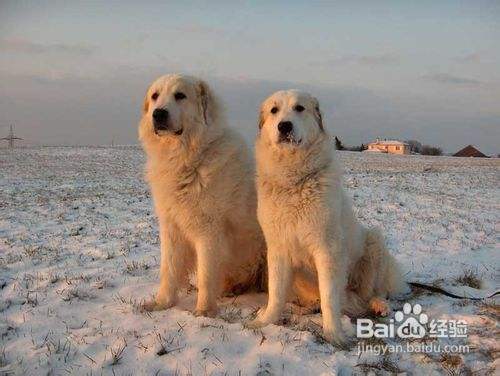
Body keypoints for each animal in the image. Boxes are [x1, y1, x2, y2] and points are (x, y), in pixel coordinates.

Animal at [139, 75, 266, 316]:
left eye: (180, 95)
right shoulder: (171, 227)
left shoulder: (209, 230)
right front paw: (162, 303)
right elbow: (169, 270)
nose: (158, 114)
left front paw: (203, 313)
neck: (187, 158)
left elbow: (206, 274)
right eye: (155, 96)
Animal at [248, 89, 408, 346]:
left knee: (372, 292)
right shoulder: (278, 249)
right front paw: (265, 320)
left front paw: (334, 335)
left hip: (374, 242)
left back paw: (379, 305)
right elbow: (275, 293)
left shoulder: (327, 250)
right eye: (274, 110)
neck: (294, 182)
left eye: (299, 108)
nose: (284, 126)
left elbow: (330, 298)